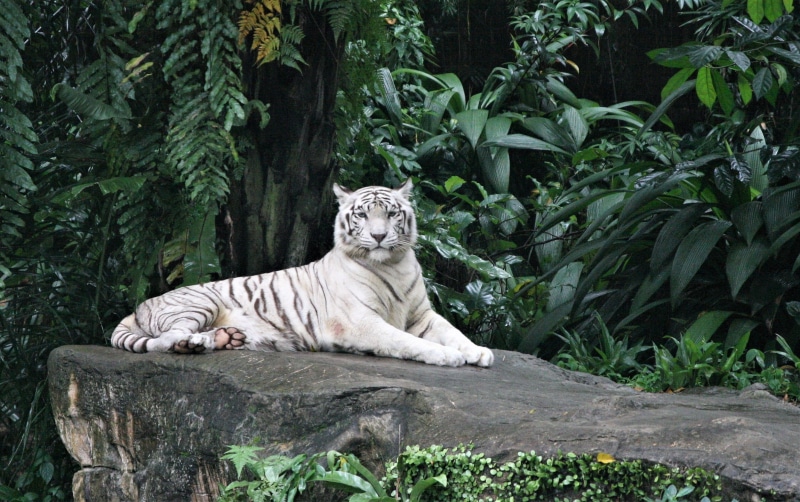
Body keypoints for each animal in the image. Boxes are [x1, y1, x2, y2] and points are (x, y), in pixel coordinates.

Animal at [111, 180, 494, 367]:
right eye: (362, 215)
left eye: (391, 214)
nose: (379, 236)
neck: (393, 264)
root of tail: (138, 307)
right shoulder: (363, 322)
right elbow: (406, 342)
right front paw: (447, 356)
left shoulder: (421, 315)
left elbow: (453, 331)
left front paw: (478, 352)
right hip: (198, 302)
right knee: (164, 341)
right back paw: (197, 342)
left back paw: (224, 339)